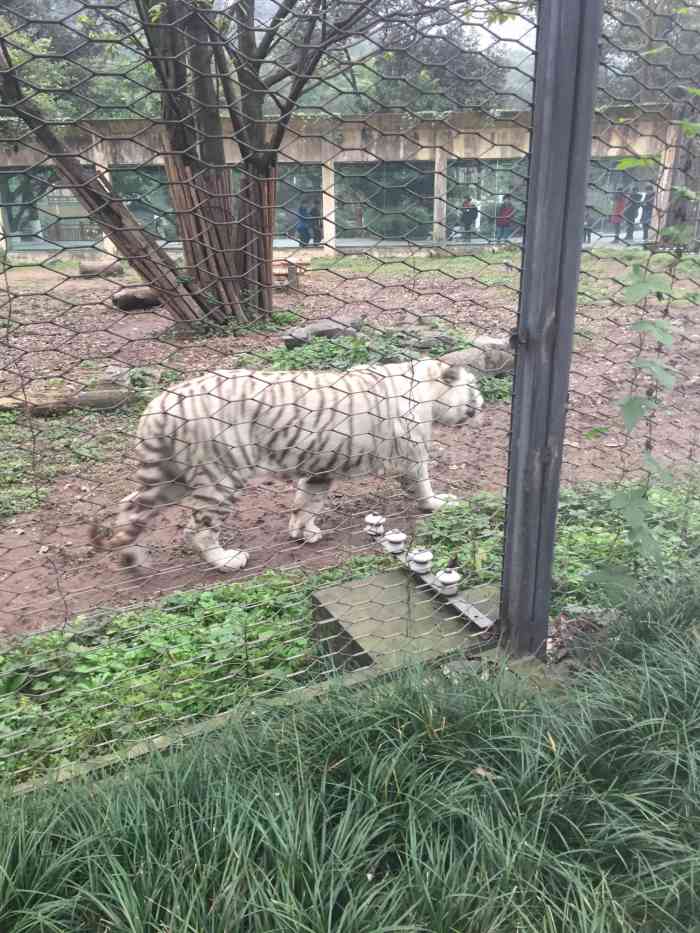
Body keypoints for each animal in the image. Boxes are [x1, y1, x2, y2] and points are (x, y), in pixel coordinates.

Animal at [90, 358, 484, 572]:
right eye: (473, 385)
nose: (481, 399)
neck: (426, 391)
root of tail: (160, 403)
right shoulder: (412, 452)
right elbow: (423, 482)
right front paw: (438, 504)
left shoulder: (321, 464)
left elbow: (306, 502)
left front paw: (302, 532)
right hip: (219, 476)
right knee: (197, 529)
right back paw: (226, 560)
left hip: (170, 476)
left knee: (130, 508)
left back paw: (132, 558)